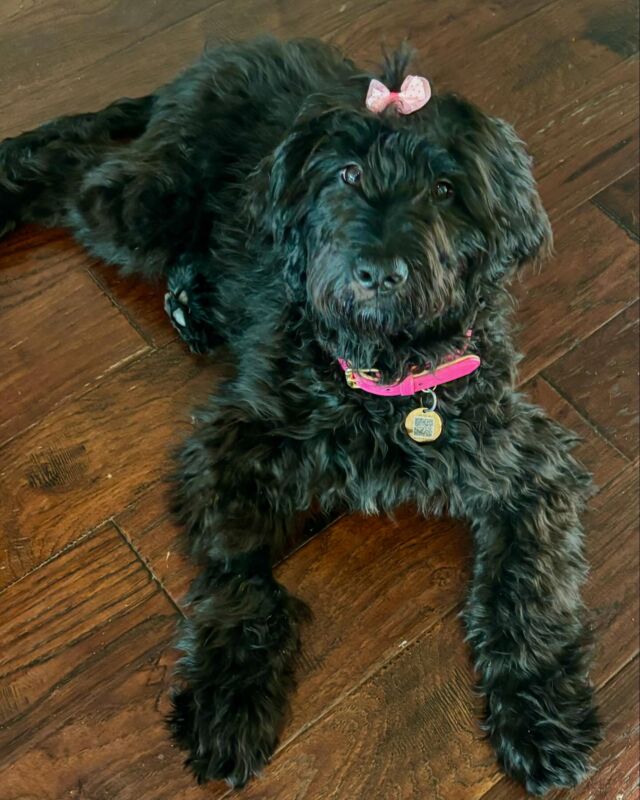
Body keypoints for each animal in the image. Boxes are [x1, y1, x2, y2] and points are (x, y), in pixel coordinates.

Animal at [0, 36, 600, 792]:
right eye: (346, 174)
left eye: (445, 190)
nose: (379, 271)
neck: (382, 373)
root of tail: (220, 57)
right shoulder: (230, 447)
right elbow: (244, 584)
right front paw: (229, 699)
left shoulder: (531, 468)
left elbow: (528, 594)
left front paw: (543, 716)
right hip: (140, 206)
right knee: (72, 164)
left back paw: (193, 303)